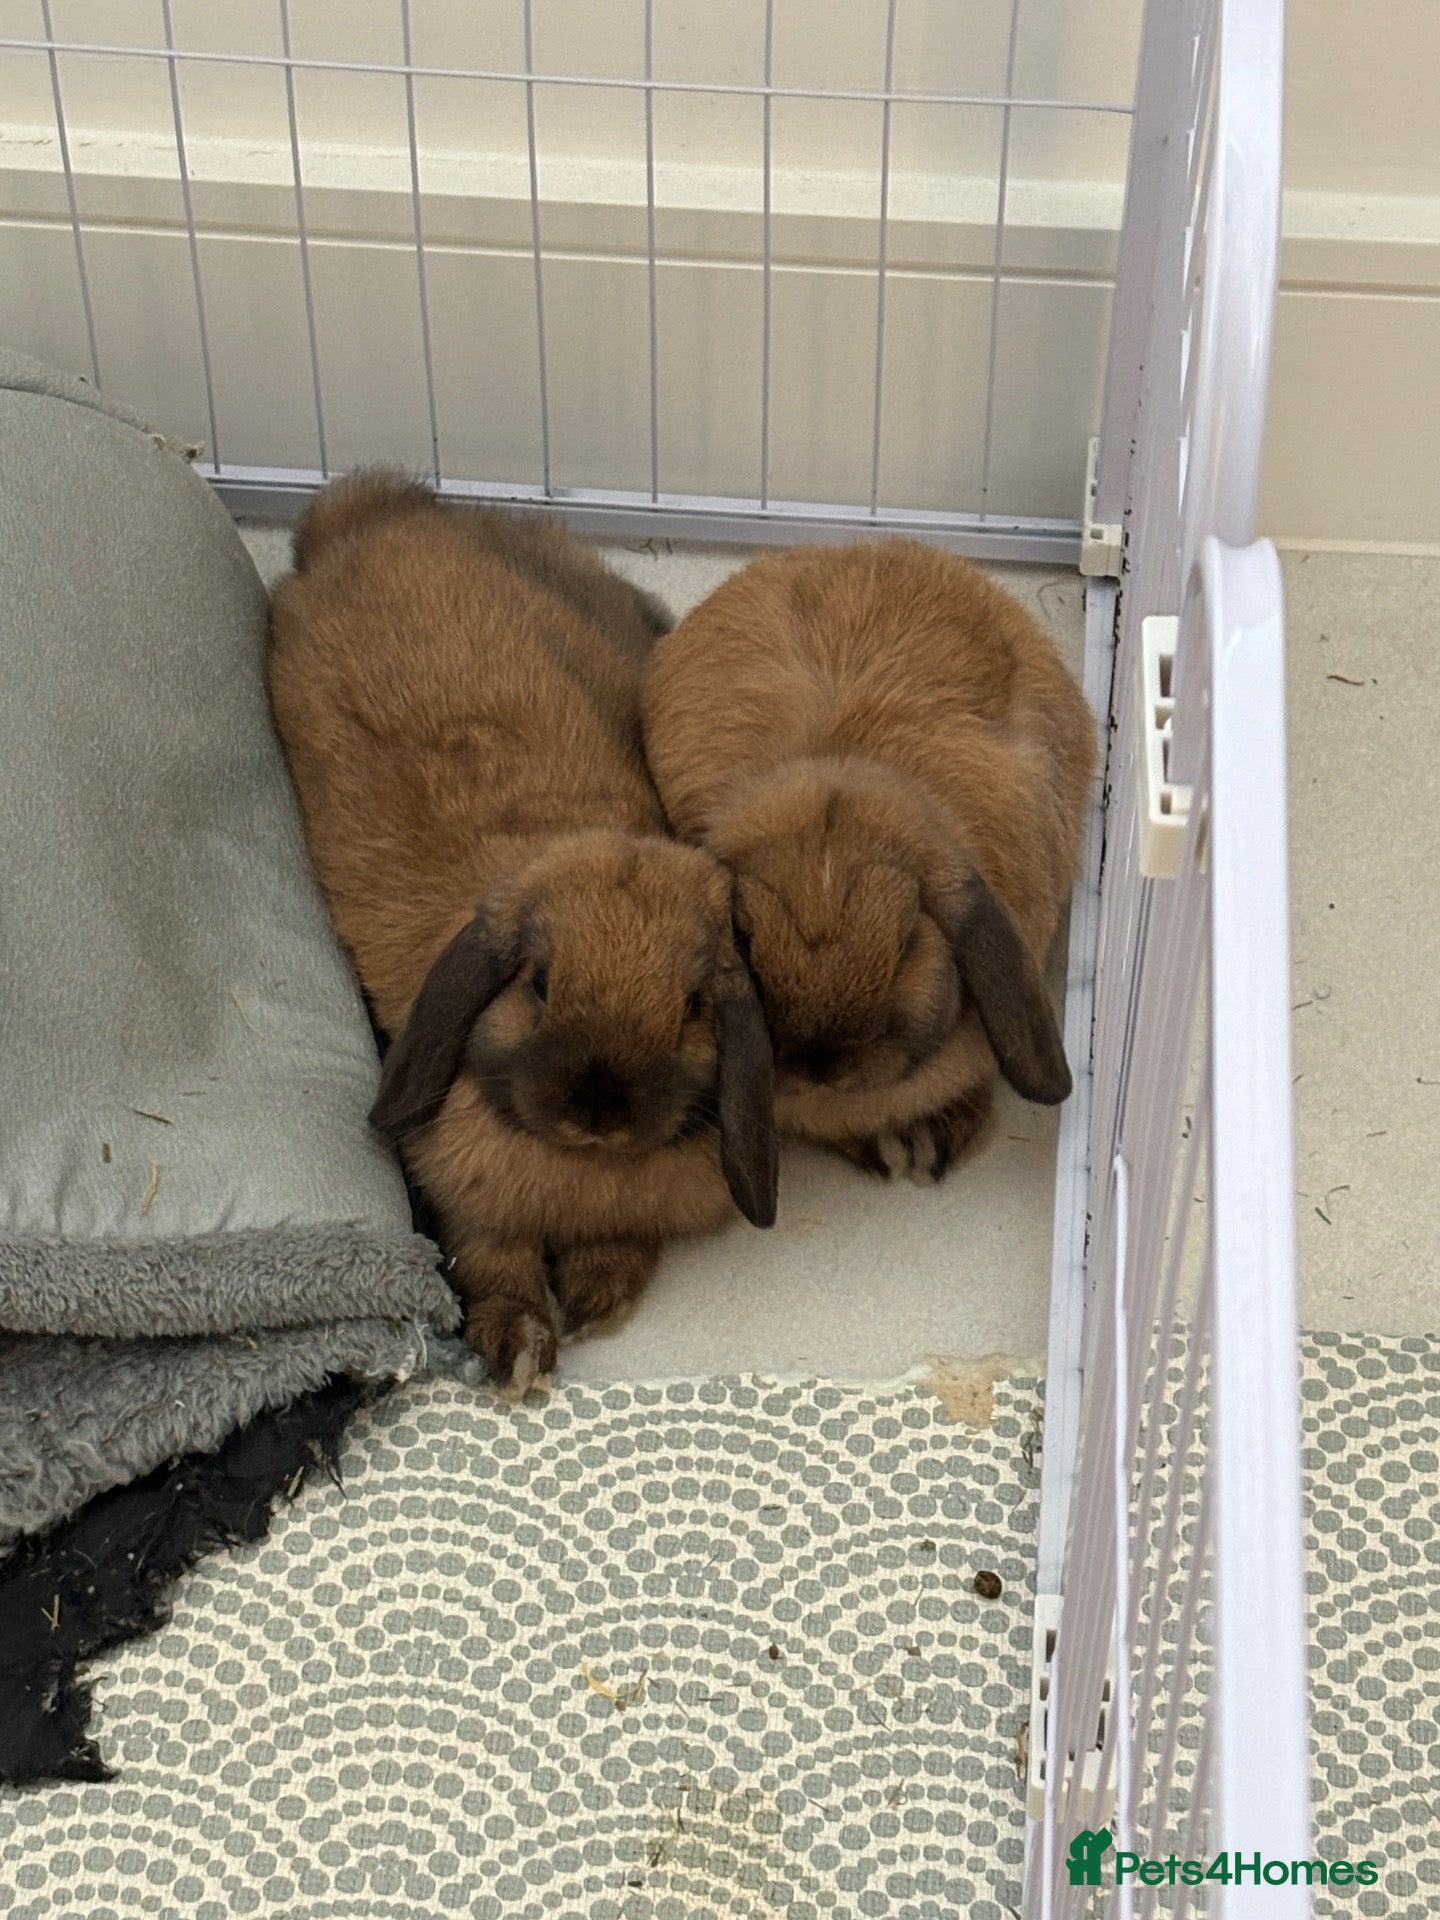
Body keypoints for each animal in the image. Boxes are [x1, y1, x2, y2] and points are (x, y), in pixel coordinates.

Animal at [267, 471, 776, 1394]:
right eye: (538, 982)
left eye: (692, 1003)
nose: (598, 1107)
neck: (581, 1169)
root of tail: (372, 511)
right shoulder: (470, 1211)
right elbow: (493, 1265)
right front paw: (519, 1352)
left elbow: (618, 1247)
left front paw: (597, 1302)